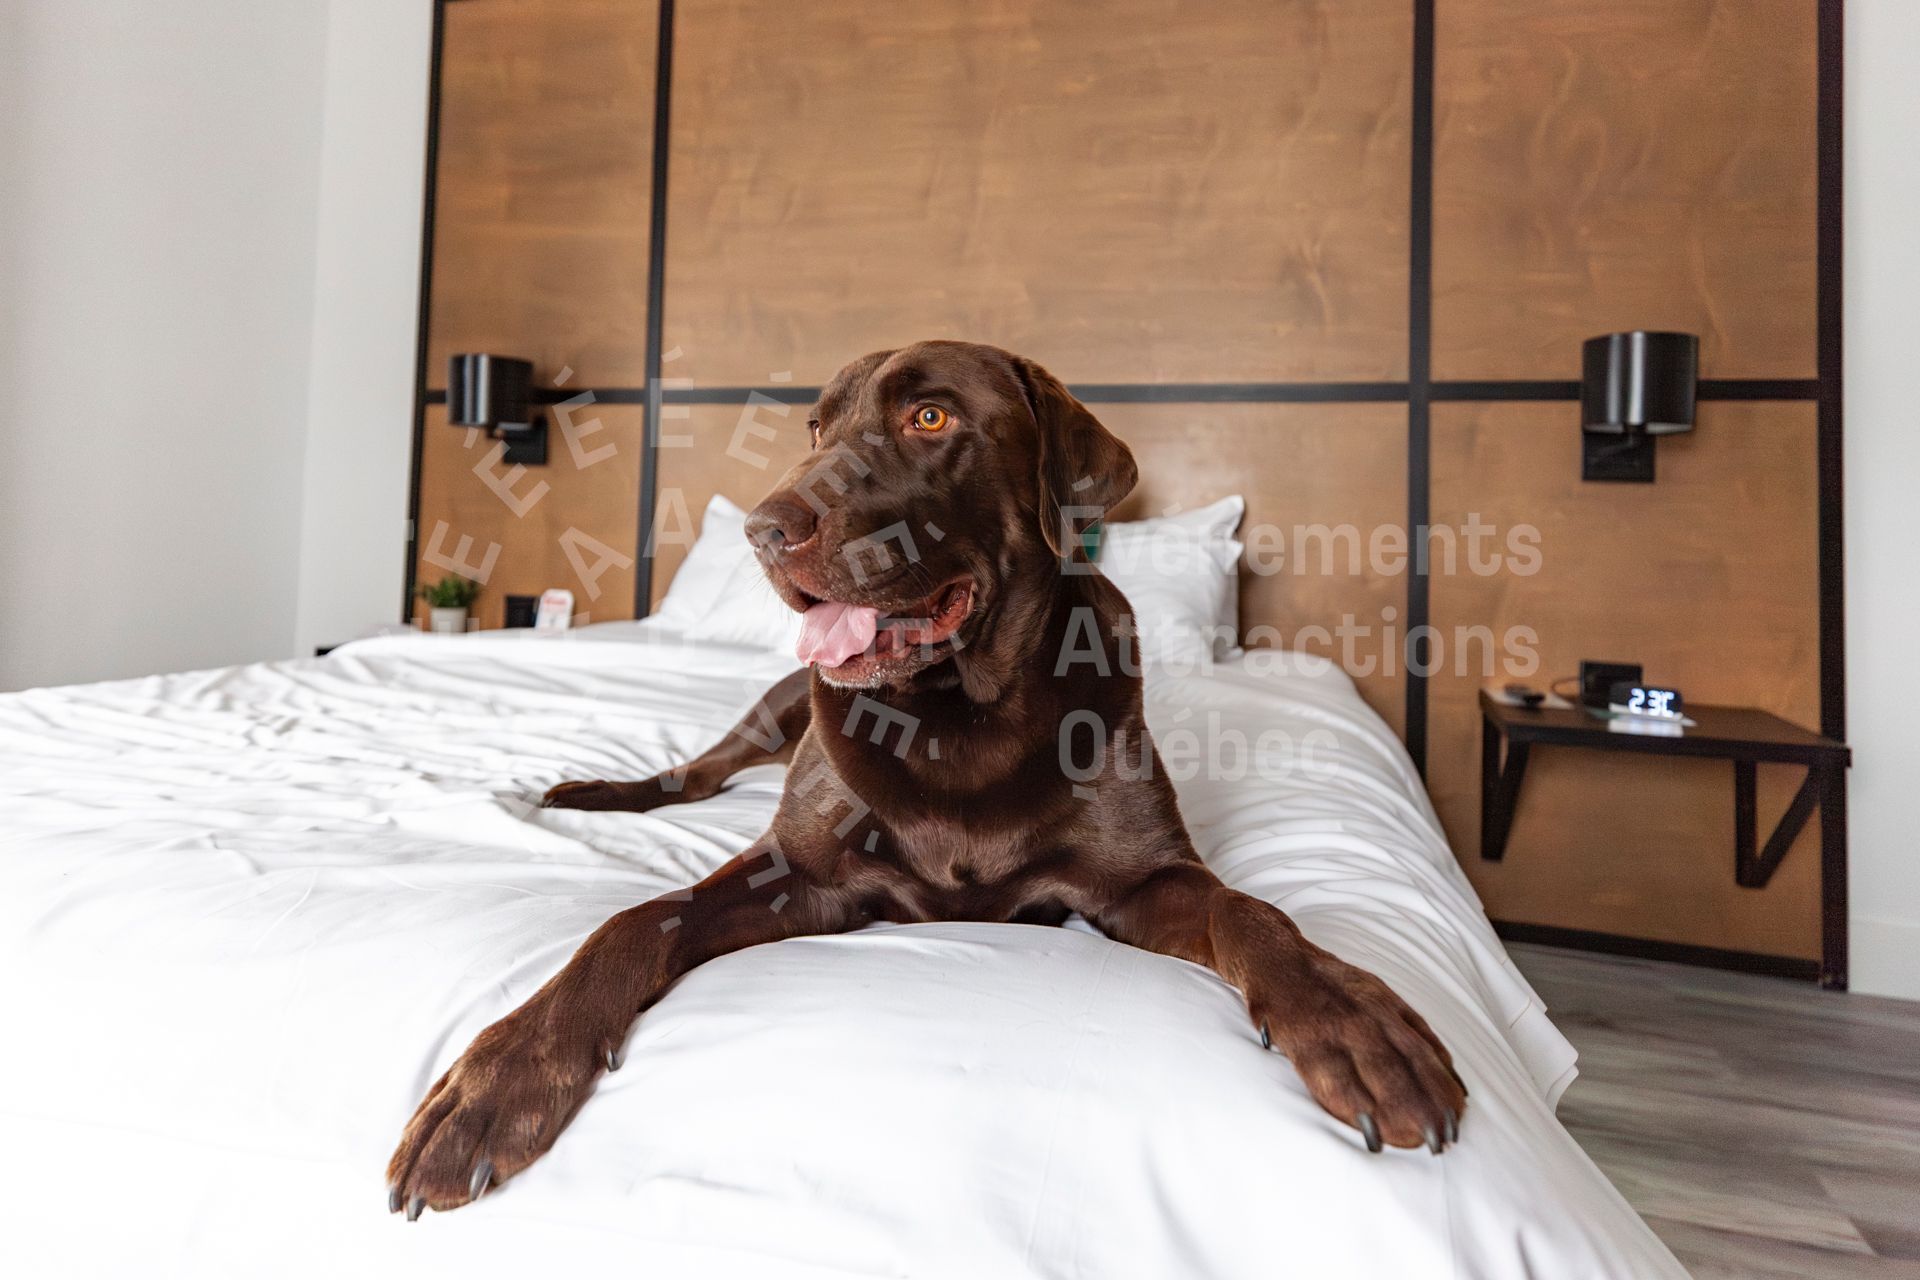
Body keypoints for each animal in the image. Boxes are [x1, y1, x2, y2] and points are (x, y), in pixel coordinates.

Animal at [387, 340, 1466, 1218]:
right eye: (815, 427)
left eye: (931, 418)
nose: (764, 530)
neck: (960, 715)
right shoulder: (798, 872)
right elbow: (630, 921)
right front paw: (496, 1080)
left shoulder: (1146, 880)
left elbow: (1255, 913)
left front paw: (1353, 1020)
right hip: (773, 708)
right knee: (692, 774)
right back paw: (592, 790)